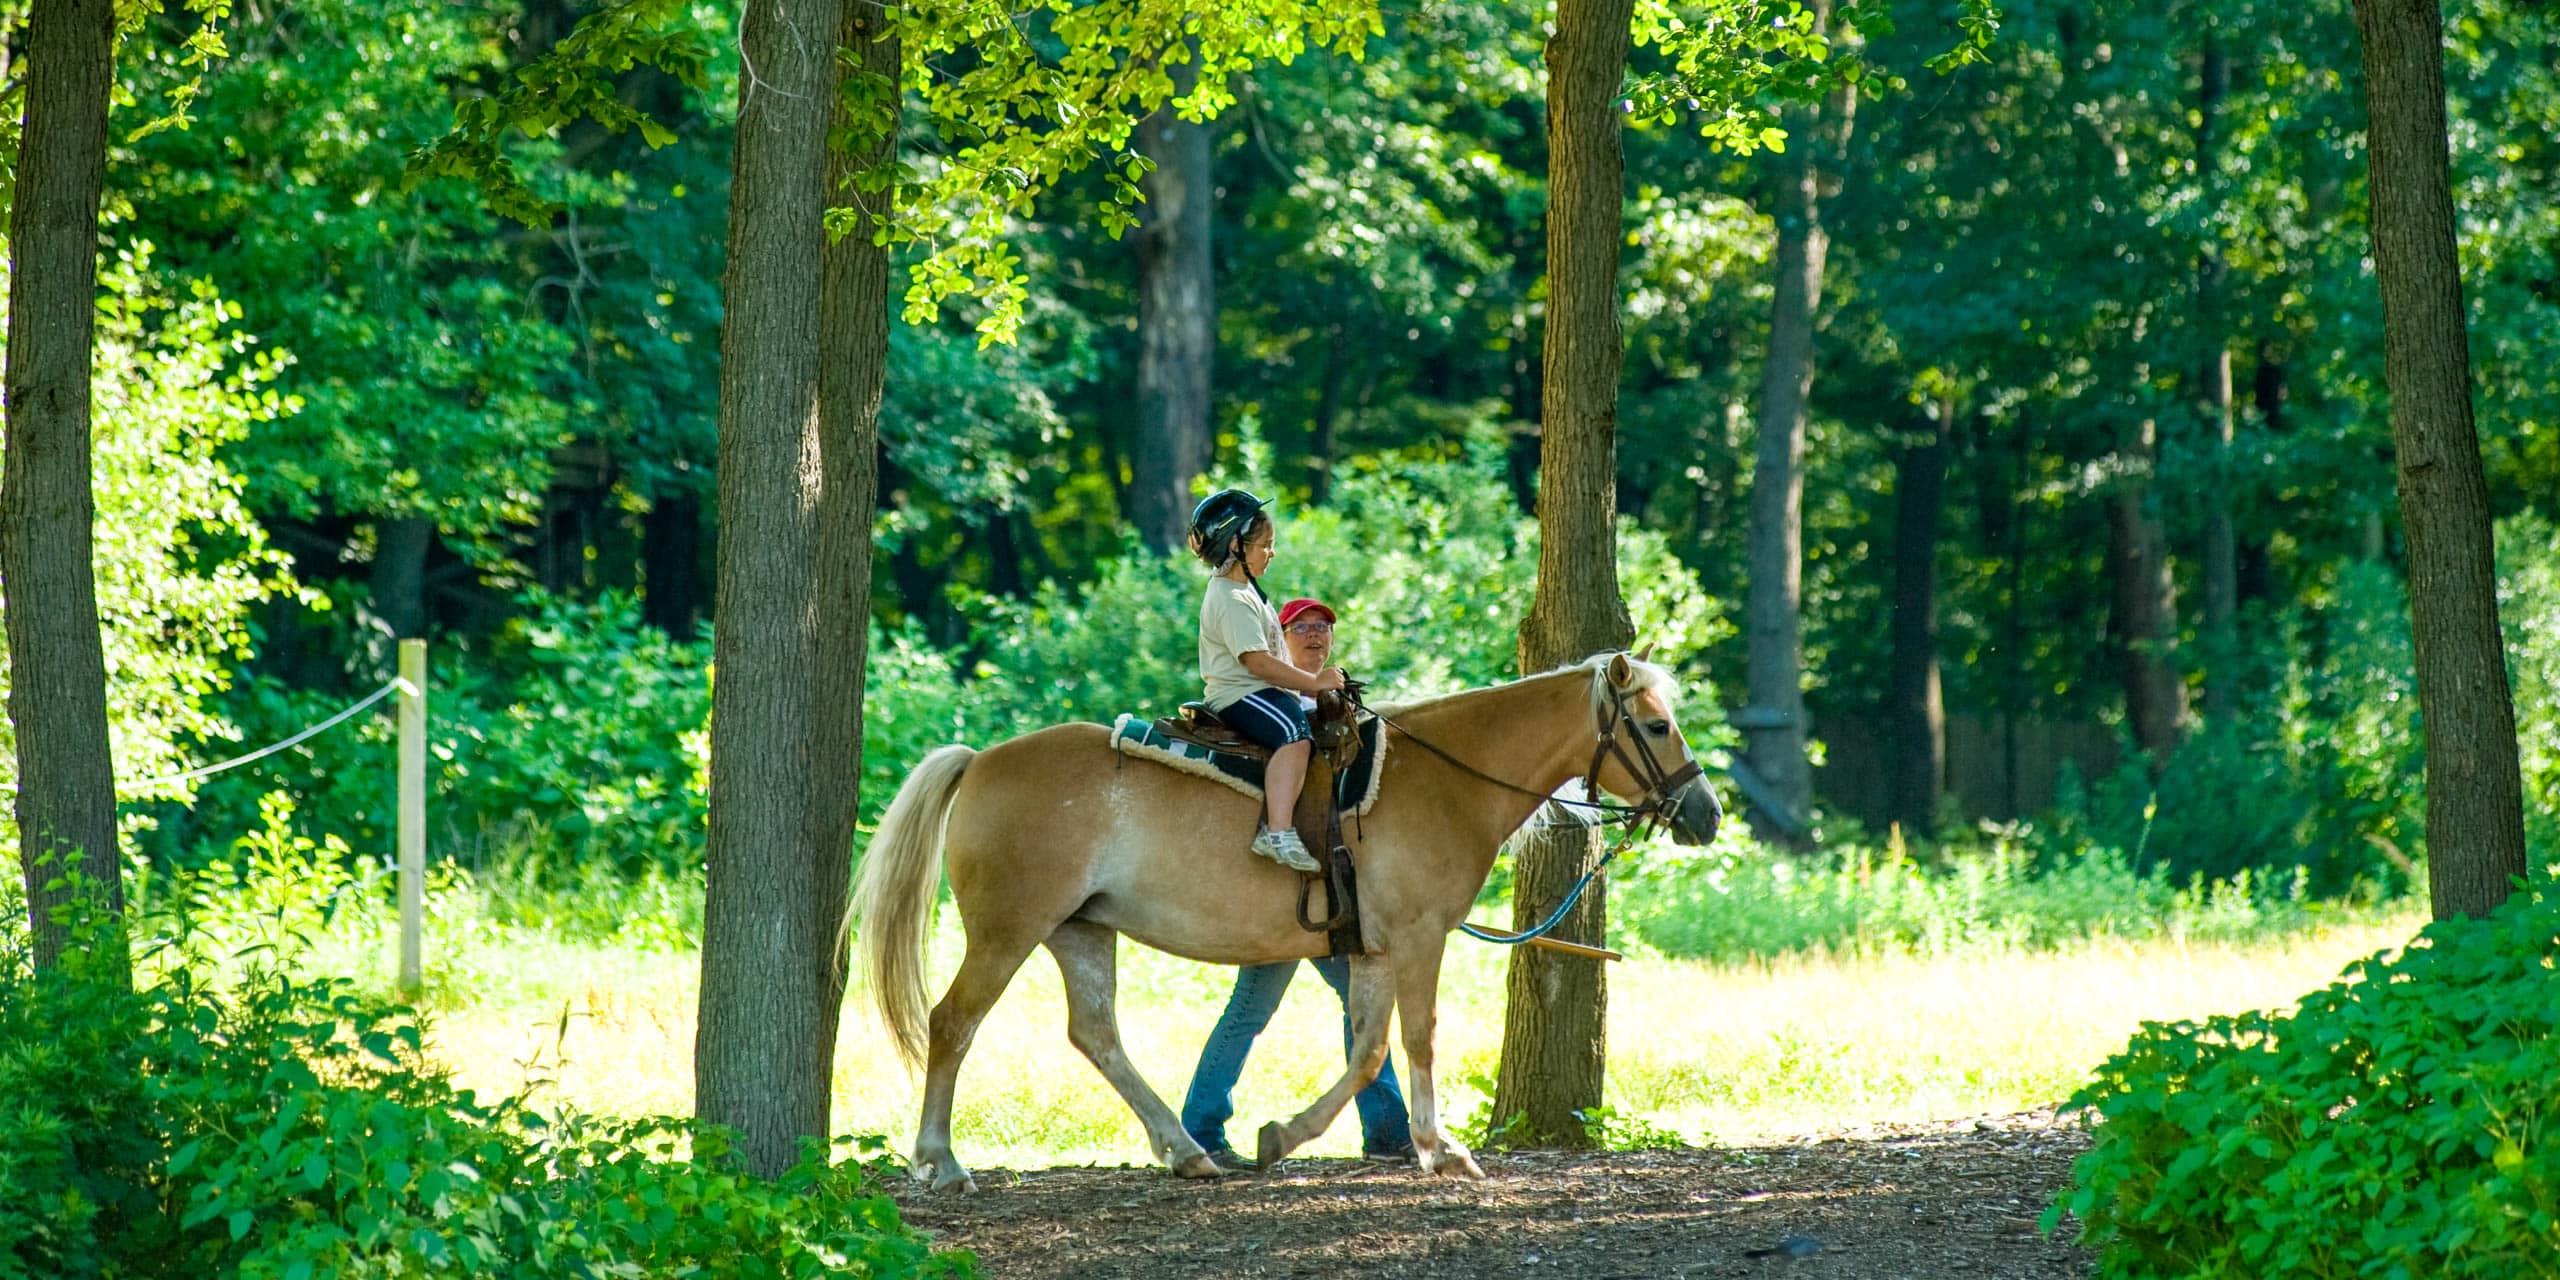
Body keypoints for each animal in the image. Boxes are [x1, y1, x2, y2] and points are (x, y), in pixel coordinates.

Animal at [855, 650, 1720, 1187]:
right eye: (1654, 725)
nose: (1705, 813)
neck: (1443, 777)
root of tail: (981, 760)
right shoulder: (1418, 940)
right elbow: (1417, 1038)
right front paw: (1441, 1150)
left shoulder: (1371, 951)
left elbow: (1368, 1053)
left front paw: (1287, 1137)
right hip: (1008, 932)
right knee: (953, 1022)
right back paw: (940, 1160)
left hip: (1081, 931)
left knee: (1096, 1035)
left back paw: (1186, 1151)